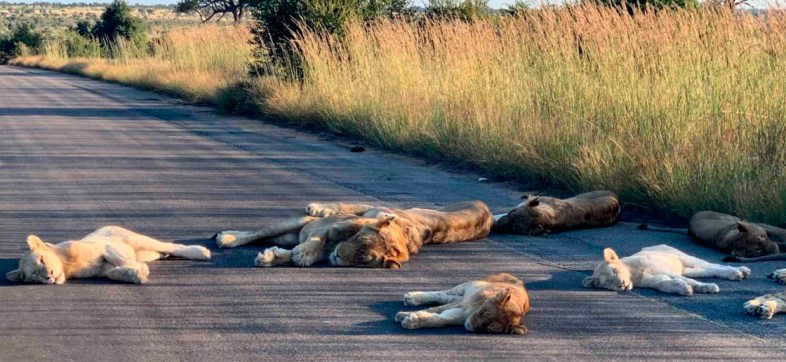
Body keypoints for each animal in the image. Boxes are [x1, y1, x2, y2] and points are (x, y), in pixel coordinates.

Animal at [4, 228, 211, 284]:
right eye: (34, 275)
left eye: (42, 260)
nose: (49, 276)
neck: (67, 266)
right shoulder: (102, 269)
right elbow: (113, 273)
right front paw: (135, 274)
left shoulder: (105, 246)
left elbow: (119, 258)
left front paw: (139, 270)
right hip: (148, 253)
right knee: (163, 252)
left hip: (138, 240)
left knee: (172, 246)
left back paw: (201, 252)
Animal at [396, 272, 528, 336]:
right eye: (484, 312)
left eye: (489, 328)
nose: (470, 325)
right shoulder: (463, 306)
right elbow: (433, 310)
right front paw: (403, 315)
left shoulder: (461, 314)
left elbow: (440, 320)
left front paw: (411, 320)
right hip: (465, 286)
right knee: (442, 293)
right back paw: (411, 298)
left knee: (446, 297)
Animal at [580, 245, 752, 296]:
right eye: (608, 282)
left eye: (615, 271)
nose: (621, 284)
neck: (633, 275)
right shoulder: (656, 280)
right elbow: (665, 284)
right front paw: (685, 289)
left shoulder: (662, 269)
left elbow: (689, 281)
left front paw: (708, 287)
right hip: (687, 269)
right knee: (708, 271)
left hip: (683, 257)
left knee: (713, 266)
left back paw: (739, 271)